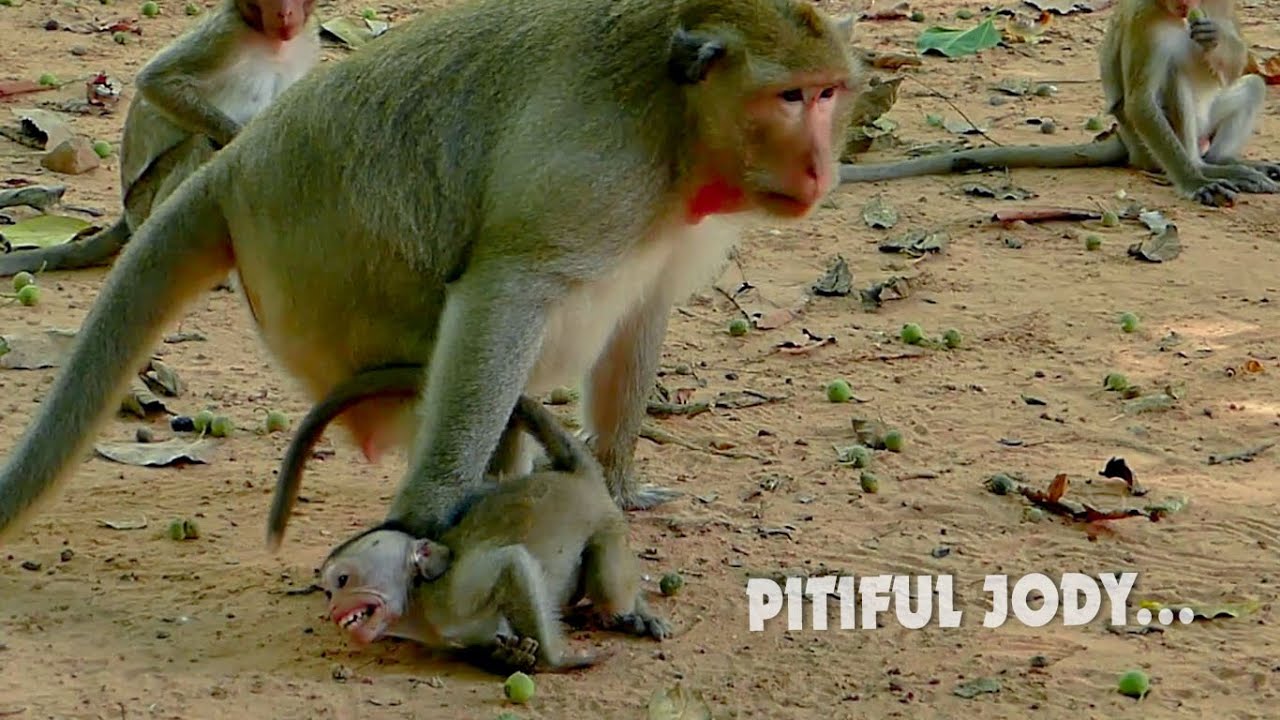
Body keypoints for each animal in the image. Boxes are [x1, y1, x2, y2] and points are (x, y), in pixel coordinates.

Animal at [0, 0, 320, 277]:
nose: (285, 13)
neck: (273, 43)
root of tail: (127, 216)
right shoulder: (224, 34)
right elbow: (157, 82)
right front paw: (237, 138)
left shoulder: (309, 41)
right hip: (142, 203)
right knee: (202, 145)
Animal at [316, 394, 670, 674]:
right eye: (329, 592)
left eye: (342, 581)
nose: (334, 610)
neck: (417, 606)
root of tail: (579, 475)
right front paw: (507, 656)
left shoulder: (449, 596)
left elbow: (513, 564)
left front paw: (553, 661)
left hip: (606, 523)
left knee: (610, 592)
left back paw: (625, 610)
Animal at [837, 0, 1279, 207]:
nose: (1187, 7)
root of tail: (1125, 143)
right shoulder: (1143, 19)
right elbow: (1138, 101)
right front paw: (1195, 183)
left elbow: (1235, 66)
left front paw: (1216, 37)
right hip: (1147, 146)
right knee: (1171, 87)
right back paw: (1205, 171)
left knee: (1253, 86)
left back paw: (1229, 163)